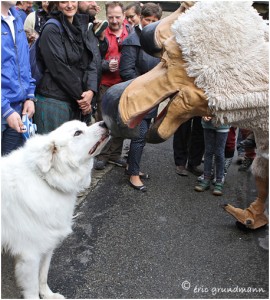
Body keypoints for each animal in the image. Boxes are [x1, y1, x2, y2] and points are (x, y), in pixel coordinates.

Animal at [1, 120, 109, 298]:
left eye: (85, 125)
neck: (46, 180)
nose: (105, 123)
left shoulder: (48, 244)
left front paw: (48, 295)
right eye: (78, 133)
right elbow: (32, 289)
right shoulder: (29, 255)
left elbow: (43, 276)